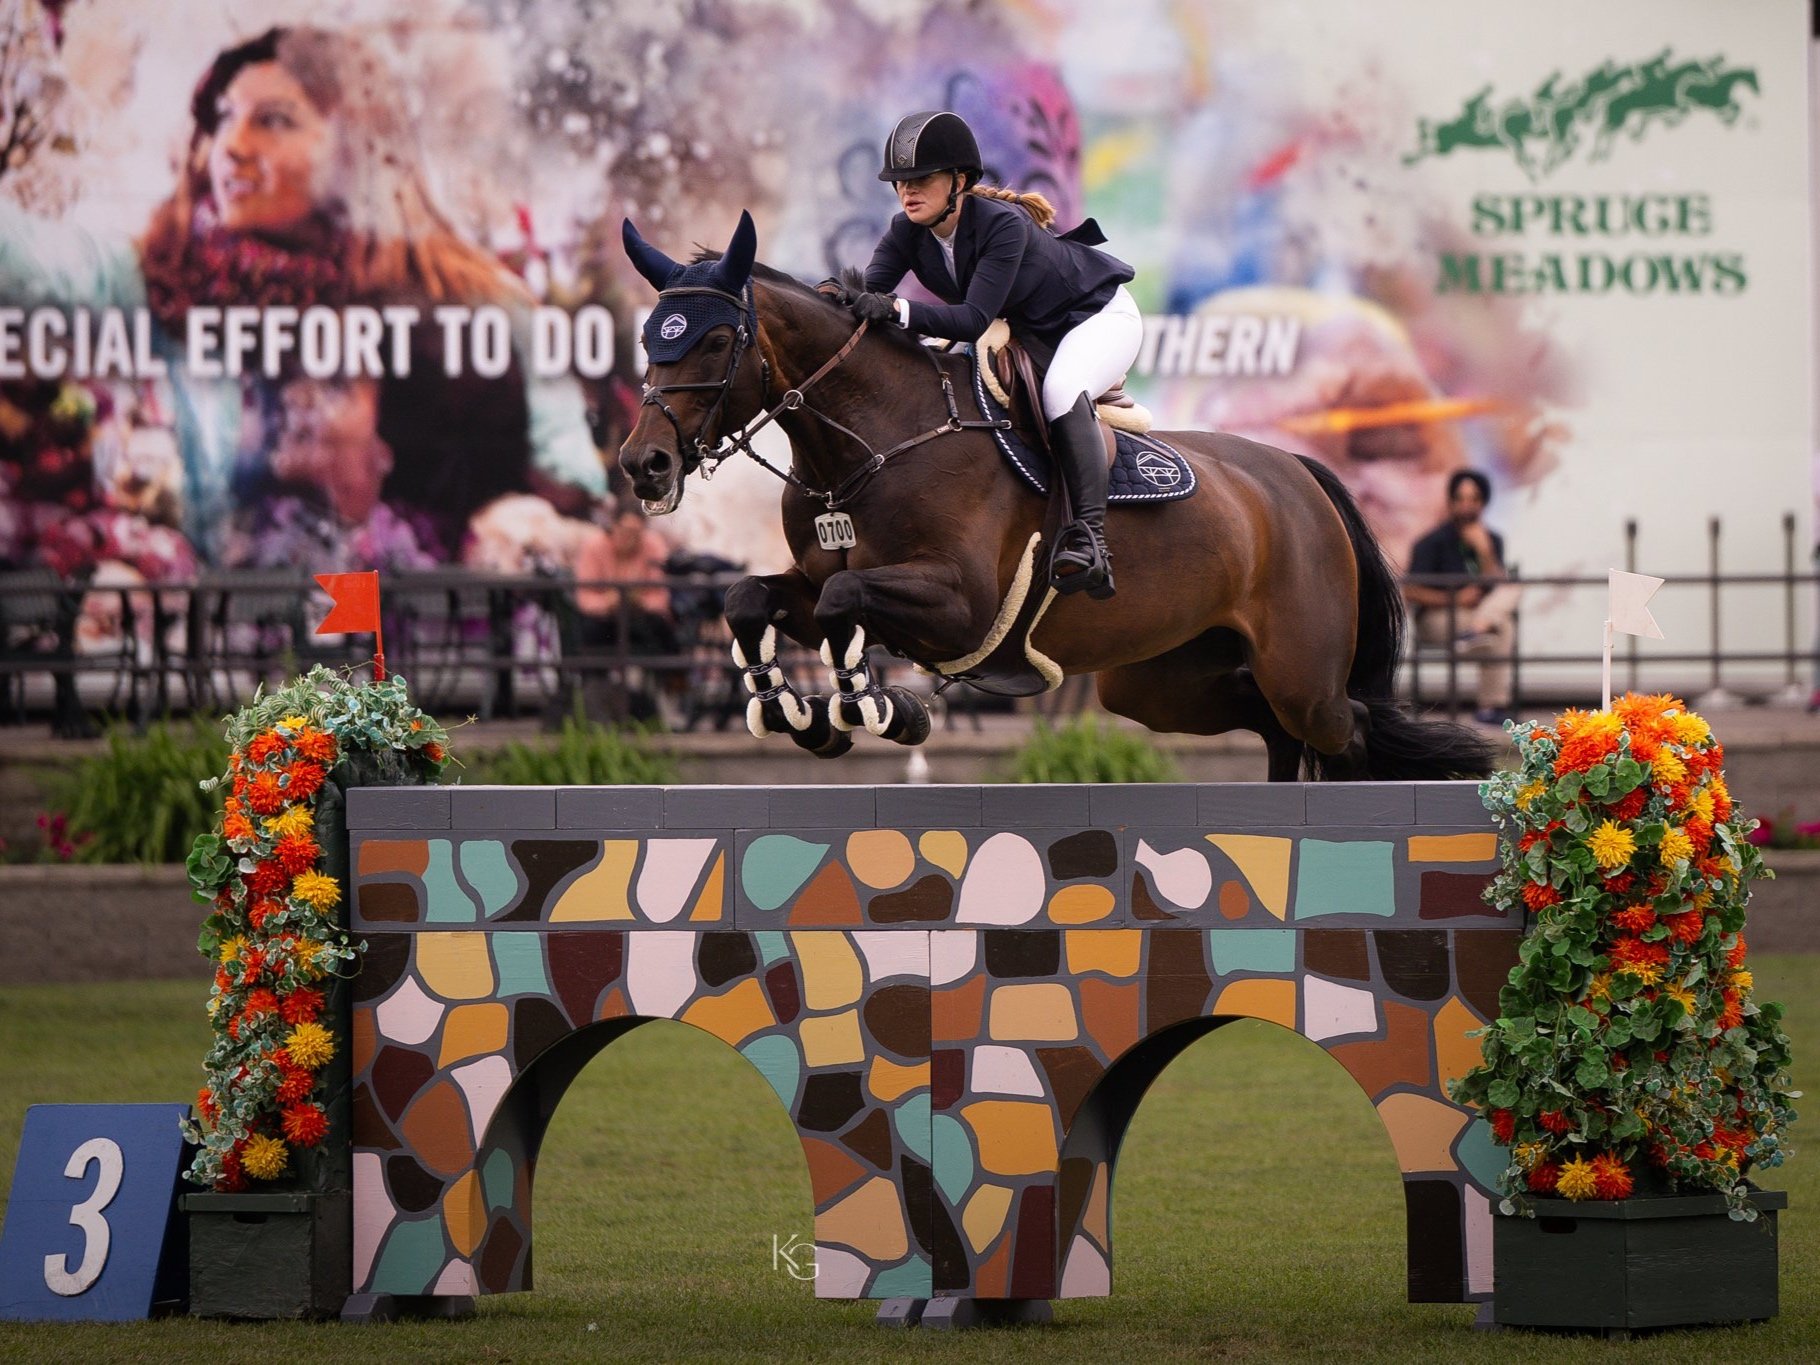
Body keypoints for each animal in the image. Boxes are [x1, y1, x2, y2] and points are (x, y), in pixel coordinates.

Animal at [618, 210, 1485, 786]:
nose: (643, 465)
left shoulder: (959, 603)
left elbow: (842, 601)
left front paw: (881, 709)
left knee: (1347, 730)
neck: (870, 440)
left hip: (1302, 675)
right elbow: (750, 596)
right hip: (1162, 682)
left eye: (717, 339)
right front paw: (792, 712)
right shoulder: (814, 578)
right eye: (649, 338)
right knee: (1273, 730)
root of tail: (1300, 476)